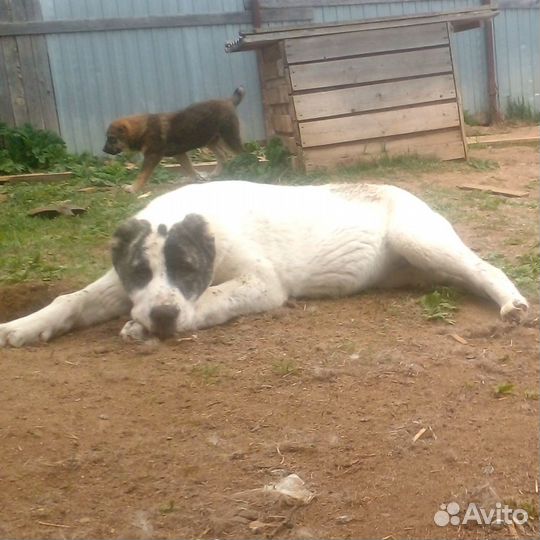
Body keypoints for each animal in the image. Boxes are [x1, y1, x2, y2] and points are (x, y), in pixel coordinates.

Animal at [0, 179, 528, 344]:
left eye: (188, 269)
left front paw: (147, 325)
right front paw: (24, 325)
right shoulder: (118, 283)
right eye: (138, 271)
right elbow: (71, 299)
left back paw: (512, 305)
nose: (163, 317)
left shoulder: (261, 283)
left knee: (485, 268)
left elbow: (212, 296)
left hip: (419, 238)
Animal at [103, 86, 245, 192]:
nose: (103, 150)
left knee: (240, 152)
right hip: (209, 140)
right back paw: (215, 173)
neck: (143, 129)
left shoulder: (152, 156)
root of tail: (229, 101)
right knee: (222, 155)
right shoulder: (180, 154)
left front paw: (133, 188)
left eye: (111, 139)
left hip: (228, 137)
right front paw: (197, 178)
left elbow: (142, 175)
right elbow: (189, 168)